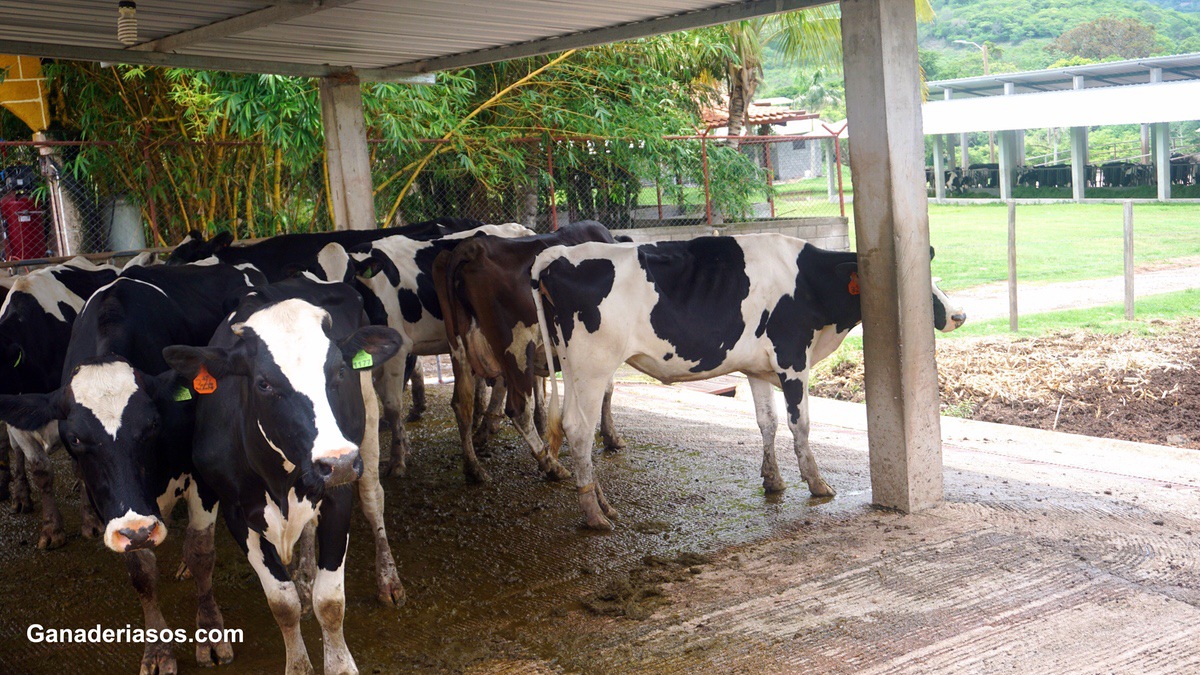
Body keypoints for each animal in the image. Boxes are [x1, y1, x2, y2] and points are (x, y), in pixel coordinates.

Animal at [0, 260, 261, 667]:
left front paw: (210, 634)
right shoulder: (117, 508)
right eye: (76, 439)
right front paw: (157, 650)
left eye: (153, 424)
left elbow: (202, 552)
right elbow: (140, 571)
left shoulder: (199, 477)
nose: (140, 529)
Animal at [163, 275, 403, 672]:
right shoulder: (237, 512)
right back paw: (305, 576)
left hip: (367, 422)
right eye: (264, 383)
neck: (280, 475)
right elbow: (282, 603)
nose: (336, 462)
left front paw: (340, 664)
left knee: (373, 499)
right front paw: (298, 661)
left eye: (339, 372)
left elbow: (330, 602)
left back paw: (388, 579)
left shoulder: (337, 494)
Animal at [348, 220, 535, 473]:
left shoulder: (400, 350)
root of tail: (518, 227)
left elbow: (392, 405)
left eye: (350, 280)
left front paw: (397, 460)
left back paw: (485, 428)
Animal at [439, 219, 633, 478]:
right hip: (518, 348)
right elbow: (608, 389)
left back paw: (474, 469)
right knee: (518, 409)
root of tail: (474, 248)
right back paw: (552, 466)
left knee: (463, 405)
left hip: (459, 349)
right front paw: (611, 436)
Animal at [535, 234, 964, 528]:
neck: (809, 282)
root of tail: (556, 256)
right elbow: (800, 425)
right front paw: (817, 483)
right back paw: (594, 513)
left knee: (572, 425)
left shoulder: (758, 368)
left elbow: (767, 422)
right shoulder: (792, 358)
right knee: (579, 429)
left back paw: (602, 504)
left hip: (572, 367)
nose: (958, 315)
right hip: (593, 366)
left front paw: (773, 480)